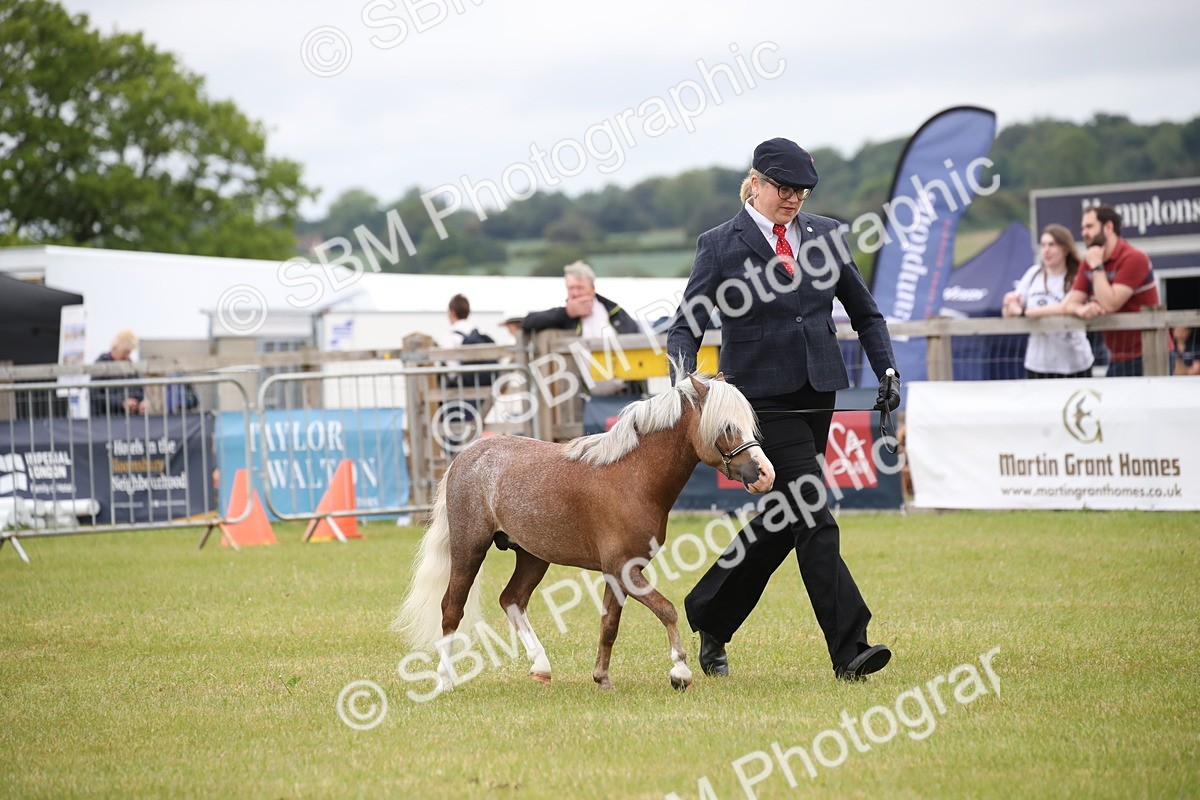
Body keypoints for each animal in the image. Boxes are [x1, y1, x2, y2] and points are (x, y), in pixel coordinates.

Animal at [394, 370, 775, 693]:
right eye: (727, 426)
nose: (764, 474)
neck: (632, 478)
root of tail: (467, 454)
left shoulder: (618, 573)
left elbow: (609, 625)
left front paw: (602, 678)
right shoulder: (623, 570)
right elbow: (666, 609)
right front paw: (679, 673)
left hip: (532, 556)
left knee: (512, 599)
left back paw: (541, 666)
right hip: (469, 548)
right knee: (451, 609)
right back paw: (445, 680)